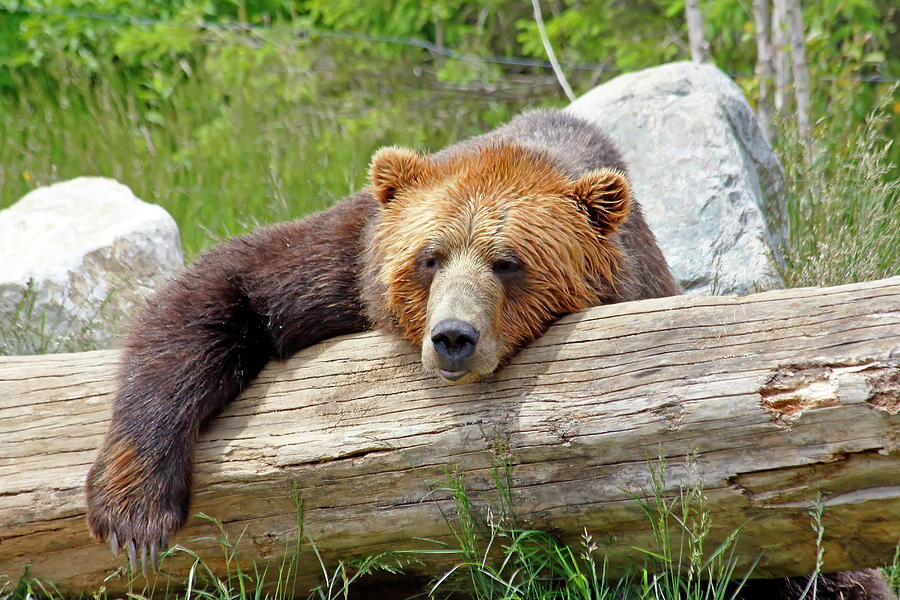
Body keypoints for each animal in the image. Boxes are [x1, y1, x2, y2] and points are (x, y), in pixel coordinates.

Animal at [86, 109, 684, 568]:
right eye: (429, 258)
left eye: (508, 263)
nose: (453, 337)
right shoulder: (348, 262)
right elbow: (218, 290)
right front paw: (134, 515)